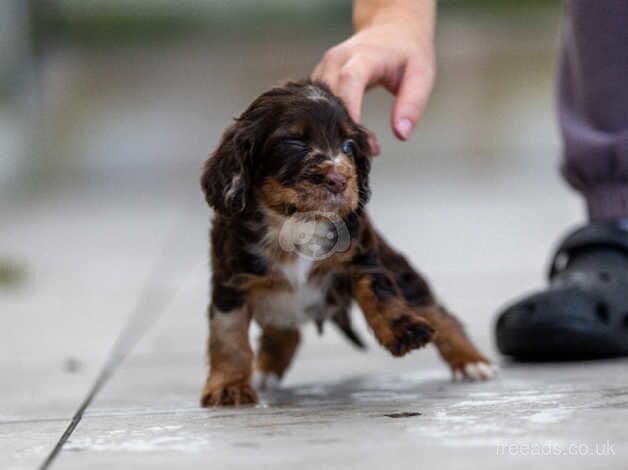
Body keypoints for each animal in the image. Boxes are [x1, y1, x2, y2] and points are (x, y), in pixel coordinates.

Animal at [201, 79, 496, 406]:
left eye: (347, 146)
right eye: (294, 142)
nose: (339, 180)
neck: (298, 223)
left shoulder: (361, 256)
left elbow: (380, 294)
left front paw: (403, 330)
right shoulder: (231, 282)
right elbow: (229, 336)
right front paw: (230, 386)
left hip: (400, 269)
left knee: (439, 313)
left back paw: (471, 362)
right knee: (286, 332)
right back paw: (266, 370)